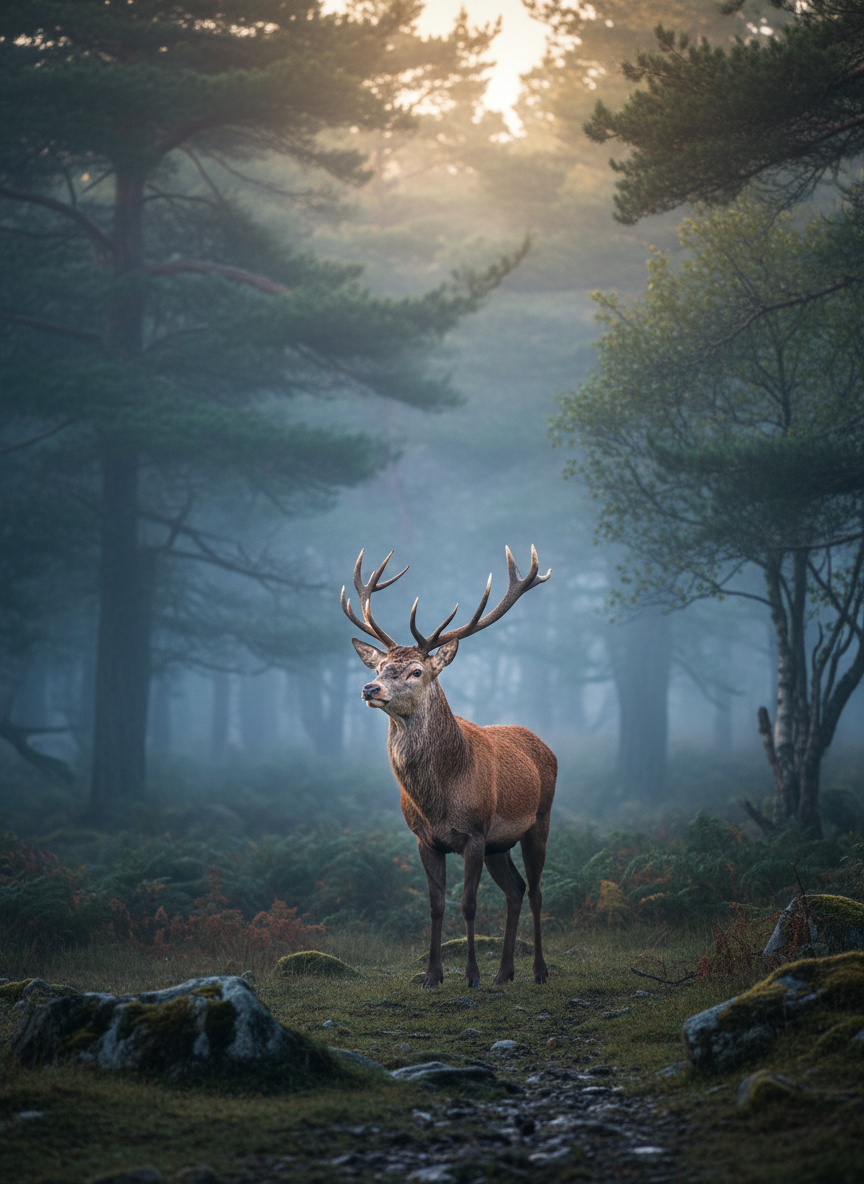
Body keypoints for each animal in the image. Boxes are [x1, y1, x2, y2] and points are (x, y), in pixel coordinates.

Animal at [341, 545, 557, 990]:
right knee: (515, 889)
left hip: (538, 821)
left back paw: (538, 970)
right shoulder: (425, 839)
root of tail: (545, 745)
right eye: (378, 668)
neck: (439, 799)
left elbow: (468, 905)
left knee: (536, 891)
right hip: (499, 844)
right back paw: (504, 972)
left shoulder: (474, 833)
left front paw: (471, 975)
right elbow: (437, 905)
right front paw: (432, 975)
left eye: (416, 671)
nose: (370, 688)